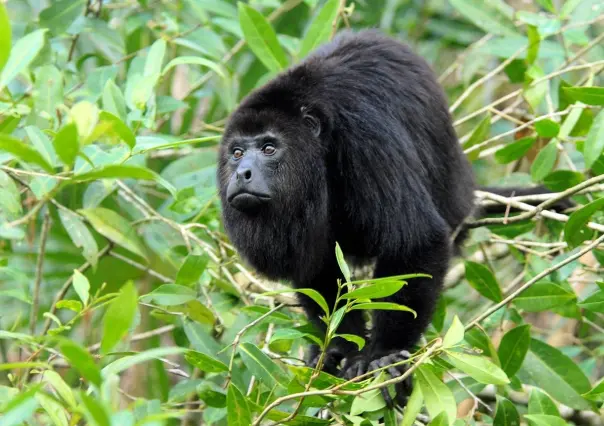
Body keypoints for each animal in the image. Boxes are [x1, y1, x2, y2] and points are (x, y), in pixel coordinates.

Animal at [216, 29, 572, 406]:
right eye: (236, 152)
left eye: (269, 148)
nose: (241, 173)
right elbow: (317, 268)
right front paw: (340, 351)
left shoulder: (363, 136)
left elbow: (415, 240)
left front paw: (383, 357)